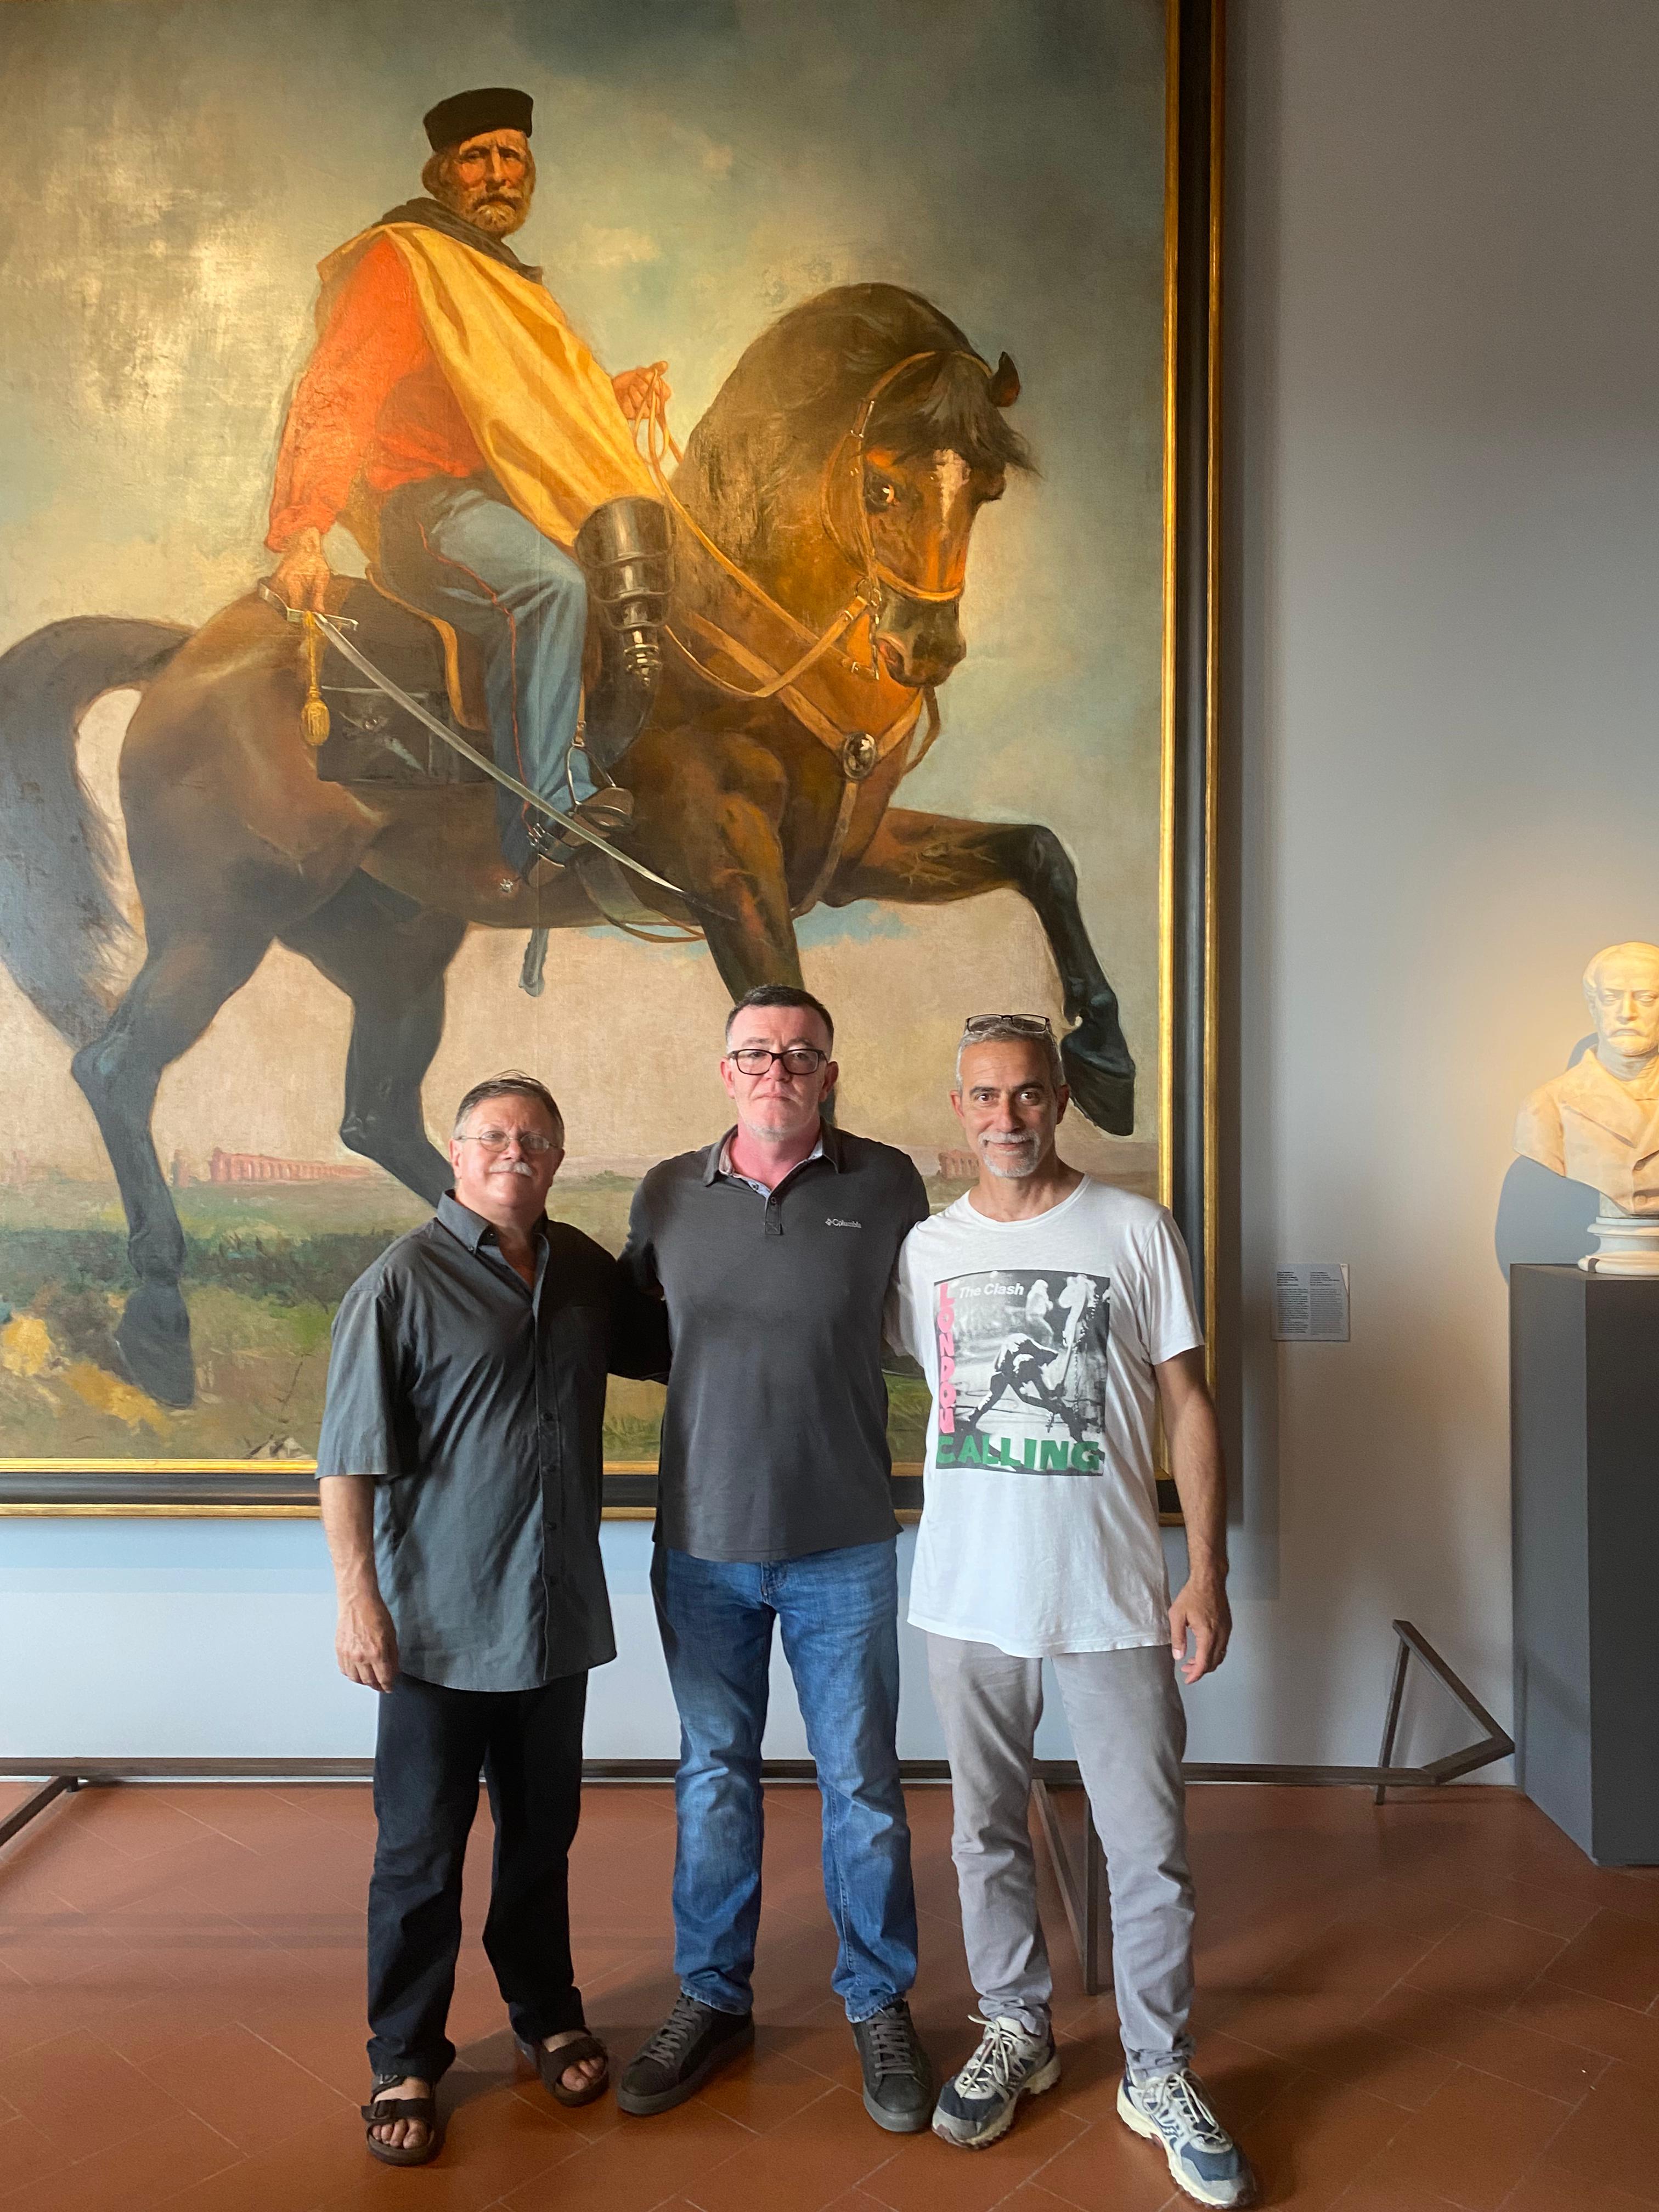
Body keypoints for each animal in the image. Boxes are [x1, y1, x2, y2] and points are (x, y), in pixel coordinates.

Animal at [0, 281, 1135, 1410]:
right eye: (883, 483)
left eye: (983, 486)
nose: (922, 648)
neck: (735, 637)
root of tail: (185, 657)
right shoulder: (734, 884)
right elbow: (791, 1038)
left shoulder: (858, 859)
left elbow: (1039, 853)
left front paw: (1106, 1062)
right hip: (221, 927)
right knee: (116, 1066)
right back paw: (158, 1322)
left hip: (397, 951)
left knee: (374, 1113)